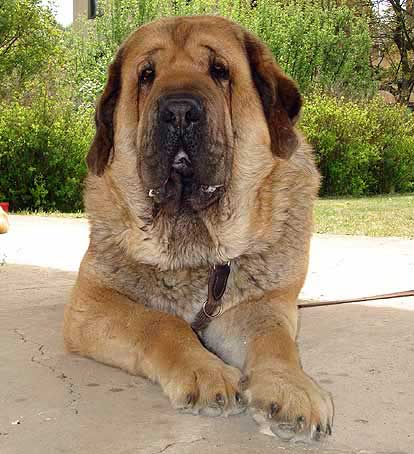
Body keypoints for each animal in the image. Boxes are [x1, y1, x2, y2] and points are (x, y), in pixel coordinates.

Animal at [64, 16, 334, 440]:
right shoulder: (91, 301)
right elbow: (159, 322)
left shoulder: (259, 306)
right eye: (147, 75)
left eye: (219, 70)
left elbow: (275, 342)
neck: (194, 235)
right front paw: (204, 371)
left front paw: (290, 387)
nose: (178, 111)